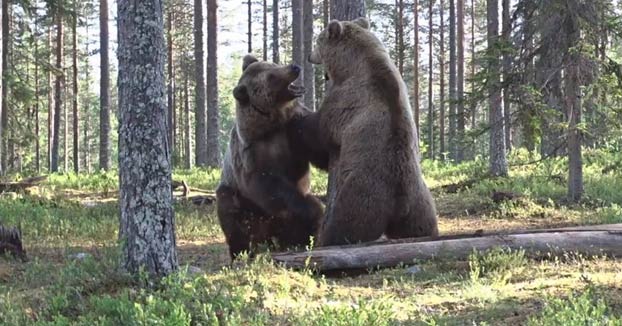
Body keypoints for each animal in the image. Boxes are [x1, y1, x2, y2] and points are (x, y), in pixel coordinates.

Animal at [217, 55, 326, 260]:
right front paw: (315, 208)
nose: (295, 67)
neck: (272, 124)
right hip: (240, 203)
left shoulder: (293, 130)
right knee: (233, 217)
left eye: (273, 64)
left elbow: (319, 148)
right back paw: (241, 251)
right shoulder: (253, 155)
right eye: (272, 77)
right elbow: (269, 185)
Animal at [304, 17, 442, 246]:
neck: (352, 64)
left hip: (362, 196)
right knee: (422, 226)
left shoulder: (344, 101)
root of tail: (400, 200)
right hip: (421, 203)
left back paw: (328, 240)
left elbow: (322, 137)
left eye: (318, 39)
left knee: (346, 226)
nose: (309, 56)